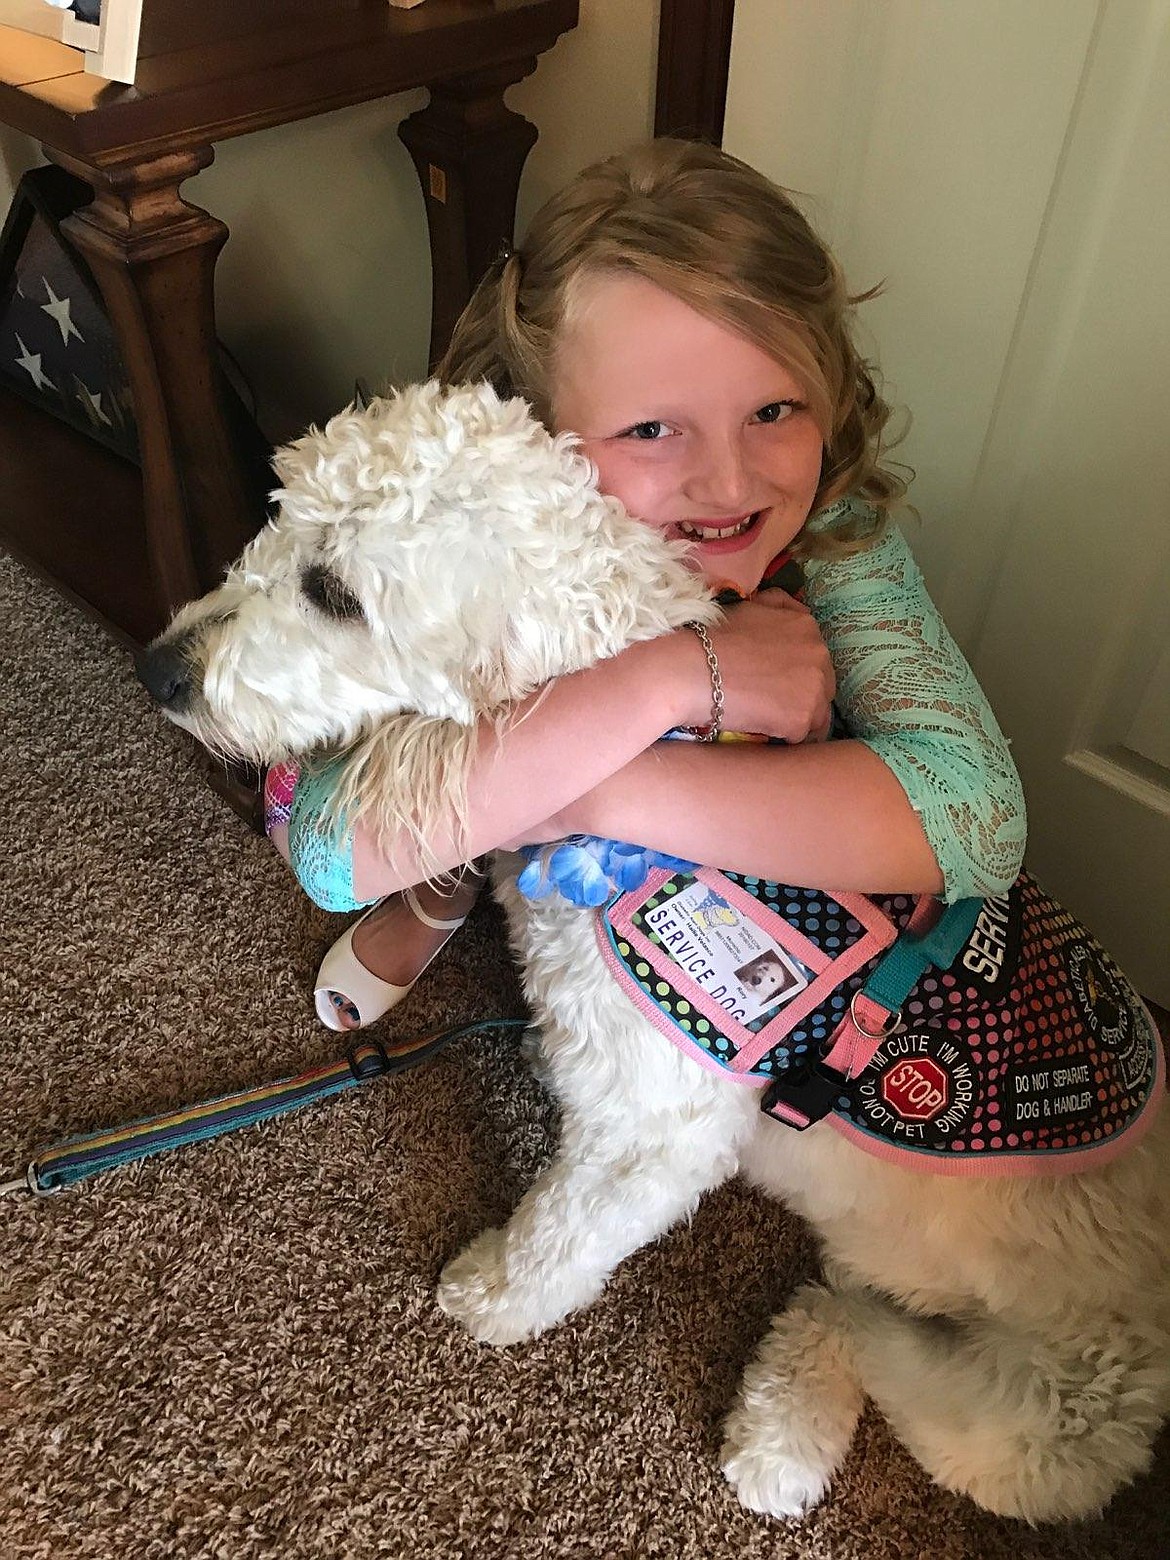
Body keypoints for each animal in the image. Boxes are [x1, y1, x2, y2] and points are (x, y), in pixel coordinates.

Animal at [144, 380, 1170, 1522]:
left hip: (1038, 1425)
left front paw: (494, 1295)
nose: (158, 669)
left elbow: (564, 1233)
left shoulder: (657, 1135)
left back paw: (779, 1443)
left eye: (332, 591)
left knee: (853, 1321)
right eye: (275, 519)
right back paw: (782, 1428)